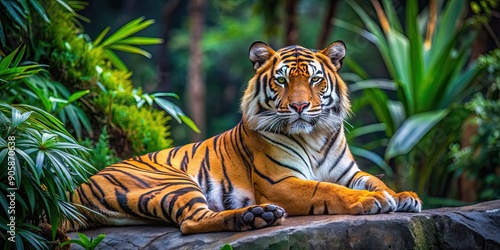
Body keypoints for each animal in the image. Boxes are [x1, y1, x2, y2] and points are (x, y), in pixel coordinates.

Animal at [66, 41, 420, 234]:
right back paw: (256, 217)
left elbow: (374, 180)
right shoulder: (279, 182)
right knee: (190, 222)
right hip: (169, 182)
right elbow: (326, 188)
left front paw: (402, 196)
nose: (300, 106)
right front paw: (370, 201)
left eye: (316, 80)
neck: (315, 135)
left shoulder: (349, 172)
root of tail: (77, 188)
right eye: (282, 81)